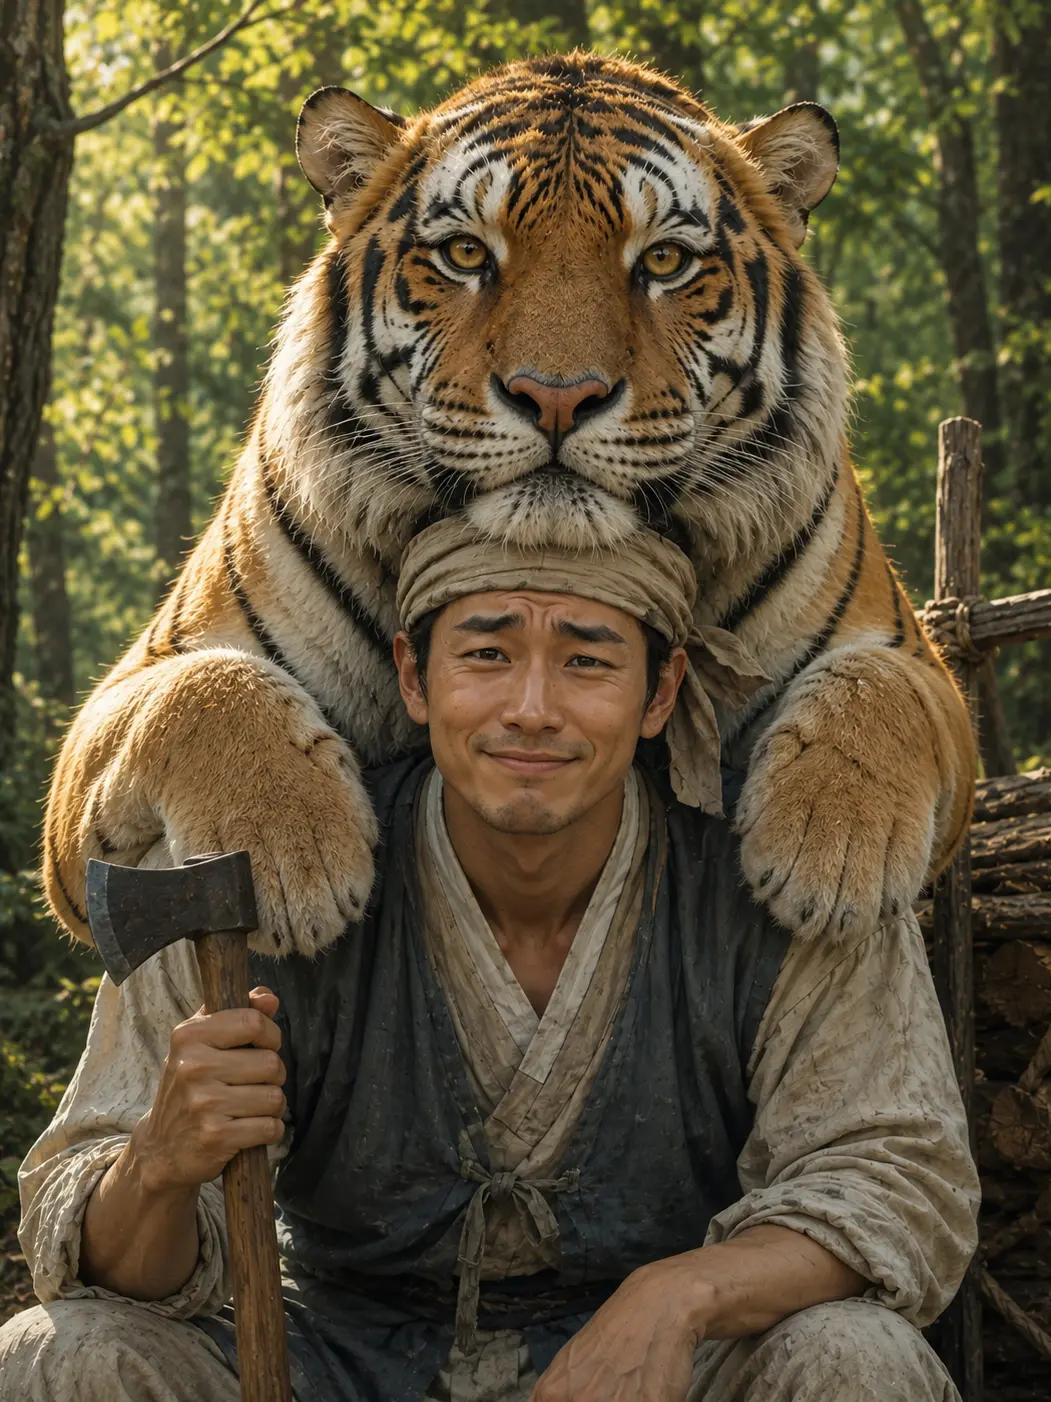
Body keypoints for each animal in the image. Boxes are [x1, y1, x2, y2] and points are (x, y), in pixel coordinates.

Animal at [43, 51, 975, 958]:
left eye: (664, 262)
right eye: (464, 254)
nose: (557, 395)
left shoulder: (918, 661)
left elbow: (879, 690)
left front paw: (831, 850)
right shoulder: (130, 690)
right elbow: (202, 690)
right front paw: (289, 849)